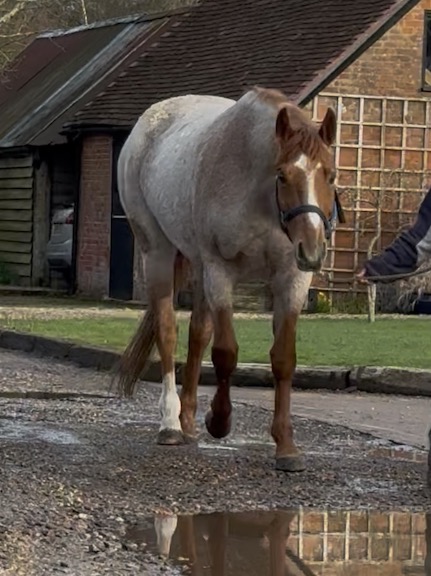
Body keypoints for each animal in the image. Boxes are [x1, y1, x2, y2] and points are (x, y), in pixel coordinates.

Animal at [116, 86, 342, 472]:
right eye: (283, 175)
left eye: (330, 175)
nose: (312, 249)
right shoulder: (220, 270)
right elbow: (225, 353)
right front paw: (219, 420)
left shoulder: (292, 279)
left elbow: (283, 358)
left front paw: (286, 446)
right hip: (158, 254)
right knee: (168, 332)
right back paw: (171, 424)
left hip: (198, 266)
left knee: (197, 335)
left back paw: (188, 421)